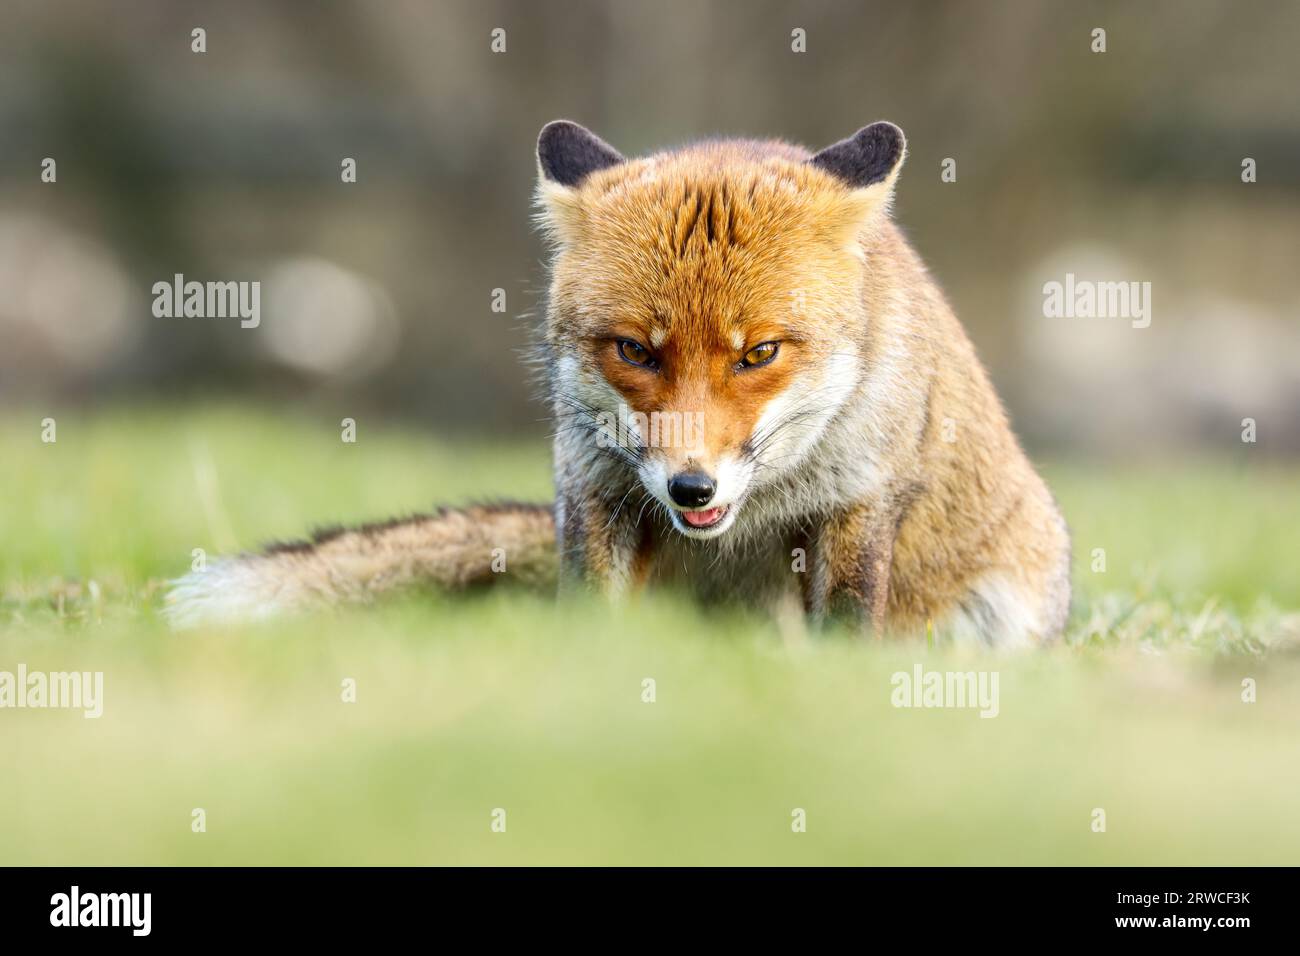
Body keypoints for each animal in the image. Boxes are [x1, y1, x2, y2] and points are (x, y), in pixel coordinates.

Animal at [166, 120, 1071, 646]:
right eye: (635, 350)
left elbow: (846, 632)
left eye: (759, 354)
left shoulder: (857, 505)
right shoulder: (596, 490)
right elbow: (593, 622)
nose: (691, 487)